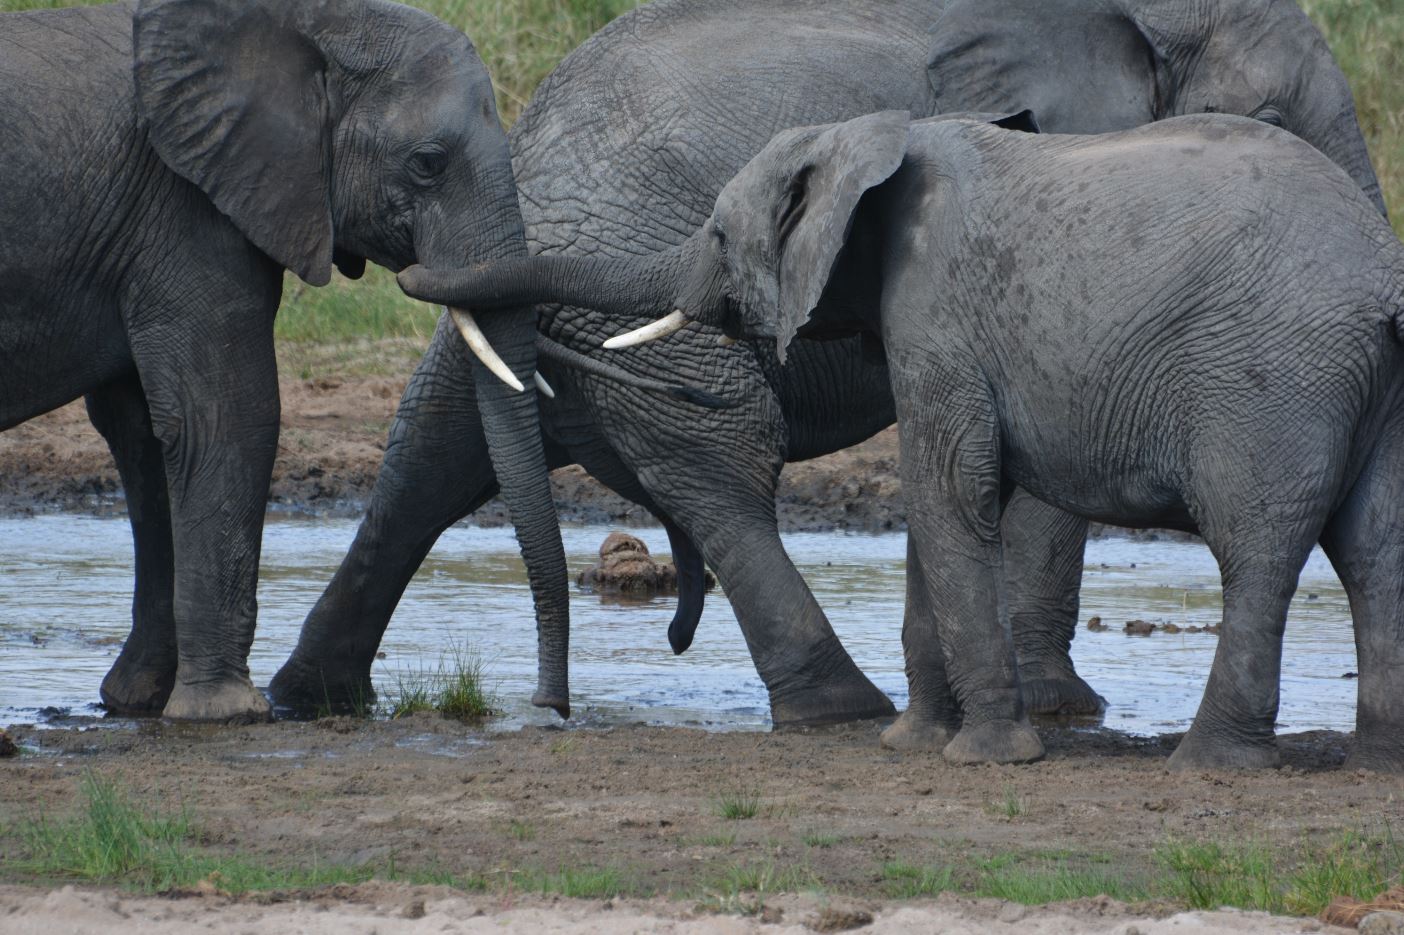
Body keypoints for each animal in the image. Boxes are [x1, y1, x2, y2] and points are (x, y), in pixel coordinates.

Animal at [0, 0, 573, 721]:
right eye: (428, 163)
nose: (548, 708)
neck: (310, 19)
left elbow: (144, 434)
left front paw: (138, 701)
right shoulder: (189, 208)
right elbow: (225, 416)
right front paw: (226, 713)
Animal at [272, 0, 1385, 729]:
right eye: (1270, 123)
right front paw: (1065, 707)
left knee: (429, 454)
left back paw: (312, 697)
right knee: (720, 466)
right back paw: (842, 707)